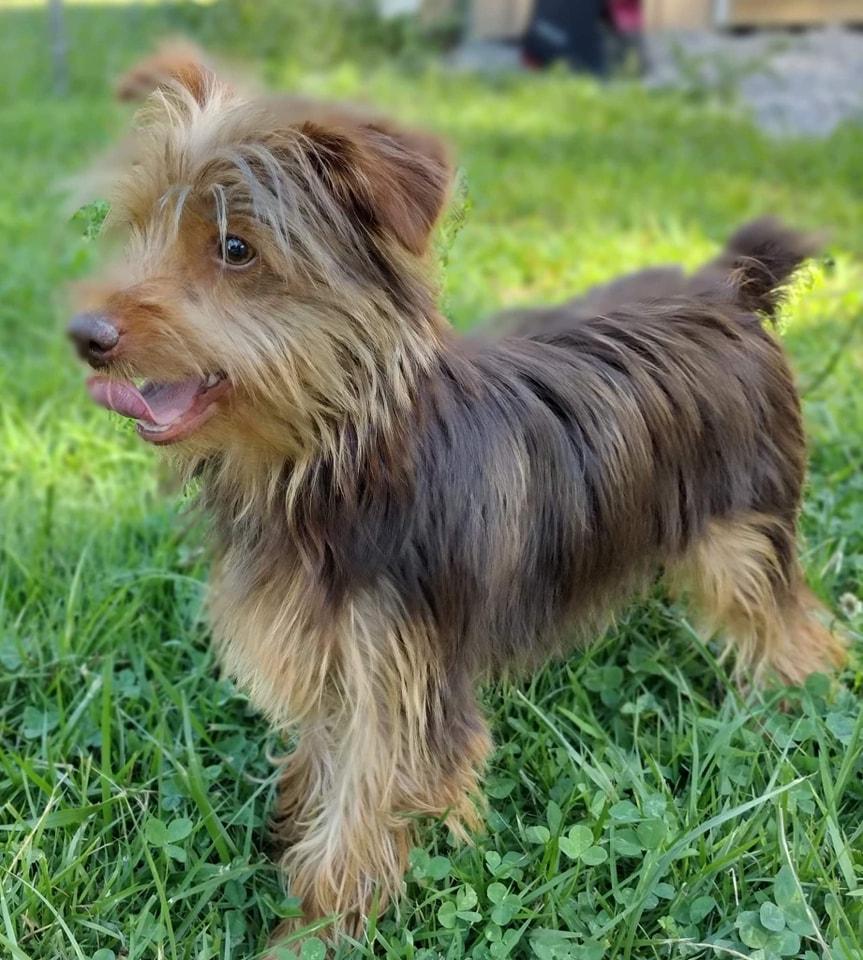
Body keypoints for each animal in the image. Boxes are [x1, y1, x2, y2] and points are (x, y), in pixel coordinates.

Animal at [69, 52, 844, 946]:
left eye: (235, 248)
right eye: (136, 228)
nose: (85, 334)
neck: (335, 460)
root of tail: (730, 292)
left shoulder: (400, 680)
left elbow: (359, 821)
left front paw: (311, 934)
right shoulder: (338, 659)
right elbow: (323, 765)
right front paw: (292, 828)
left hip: (743, 530)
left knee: (788, 624)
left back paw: (798, 699)